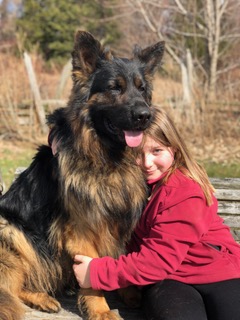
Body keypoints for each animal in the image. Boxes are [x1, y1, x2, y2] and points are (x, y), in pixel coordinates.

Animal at [0, 30, 164, 320]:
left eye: (142, 88)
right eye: (114, 87)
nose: (145, 116)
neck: (106, 159)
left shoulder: (118, 219)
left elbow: (118, 256)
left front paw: (128, 291)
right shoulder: (82, 229)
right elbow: (90, 269)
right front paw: (101, 310)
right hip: (11, 231)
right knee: (11, 288)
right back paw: (42, 298)